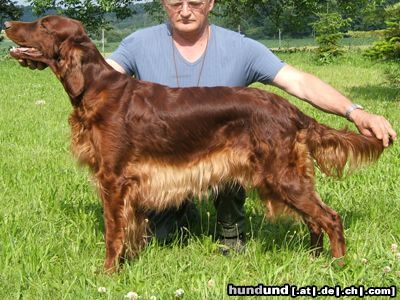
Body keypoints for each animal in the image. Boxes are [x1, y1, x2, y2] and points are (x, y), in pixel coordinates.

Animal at [5, 15, 384, 272]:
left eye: (43, 24)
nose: (7, 22)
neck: (95, 87)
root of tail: (290, 109)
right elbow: (130, 229)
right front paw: (129, 262)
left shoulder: (113, 178)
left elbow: (113, 233)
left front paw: (109, 273)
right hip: (282, 177)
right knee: (314, 221)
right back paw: (314, 260)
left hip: (280, 175)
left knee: (330, 218)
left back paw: (337, 266)